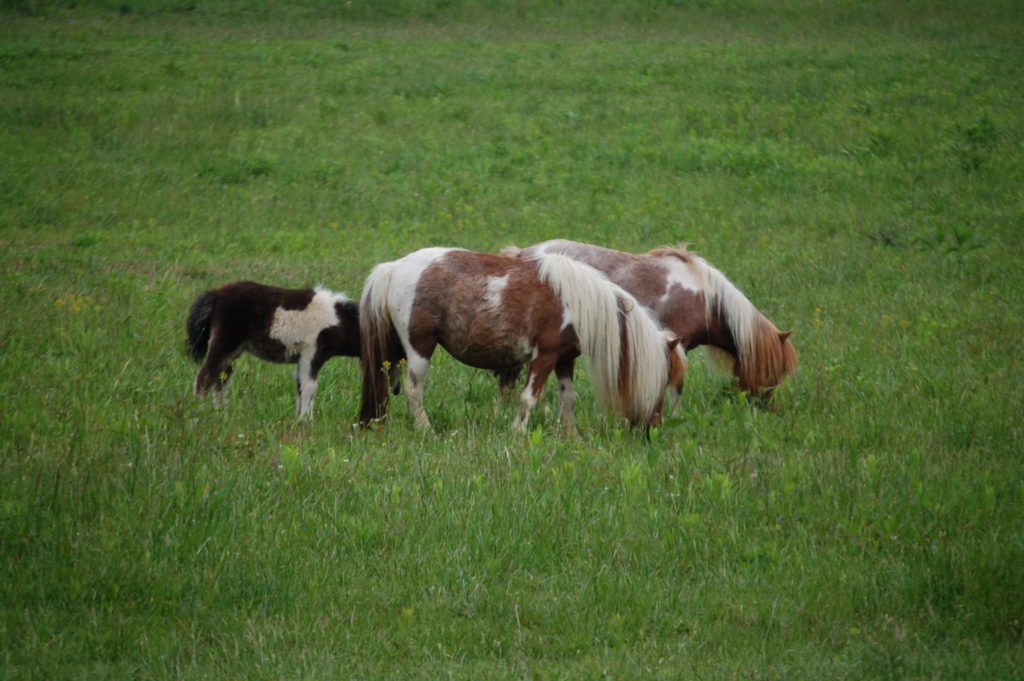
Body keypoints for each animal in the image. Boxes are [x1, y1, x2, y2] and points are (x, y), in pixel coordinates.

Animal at [185, 278, 360, 417]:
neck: (340, 322)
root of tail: (216, 295)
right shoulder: (312, 352)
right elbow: (309, 387)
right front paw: (306, 422)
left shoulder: (303, 357)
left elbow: (300, 386)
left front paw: (299, 420)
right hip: (224, 342)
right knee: (205, 378)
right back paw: (199, 416)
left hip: (235, 350)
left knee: (221, 380)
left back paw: (221, 415)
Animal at [356, 246, 684, 432]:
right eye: (663, 379)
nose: (655, 428)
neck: (579, 303)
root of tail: (393, 268)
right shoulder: (544, 357)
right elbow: (528, 399)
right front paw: (517, 434)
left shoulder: (564, 359)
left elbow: (567, 399)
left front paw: (572, 437)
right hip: (419, 348)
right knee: (414, 391)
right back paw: (427, 431)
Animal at [503, 238, 798, 401]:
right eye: (771, 370)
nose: (764, 406)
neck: (705, 298)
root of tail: (523, 253)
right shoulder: (678, 344)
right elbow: (676, 386)